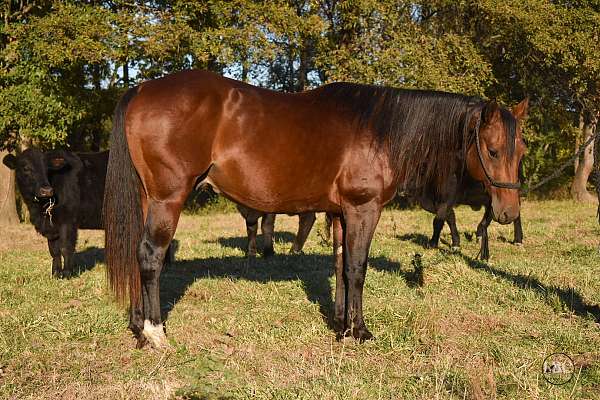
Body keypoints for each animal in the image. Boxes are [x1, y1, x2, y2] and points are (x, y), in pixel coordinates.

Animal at [3, 148, 108, 276]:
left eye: (47, 168)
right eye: (26, 168)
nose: (47, 190)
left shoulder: (68, 221)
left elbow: (65, 248)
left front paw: (67, 273)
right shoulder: (50, 226)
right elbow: (54, 250)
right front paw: (56, 273)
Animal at [103, 70, 524, 348]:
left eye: (520, 150)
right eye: (492, 151)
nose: (507, 213)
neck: (380, 131)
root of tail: (141, 88)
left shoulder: (339, 213)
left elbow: (339, 265)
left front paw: (340, 325)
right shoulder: (363, 209)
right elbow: (356, 269)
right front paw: (359, 332)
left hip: (148, 199)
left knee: (136, 255)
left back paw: (138, 326)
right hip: (168, 199)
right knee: (150, 256)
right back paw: (156, 333)